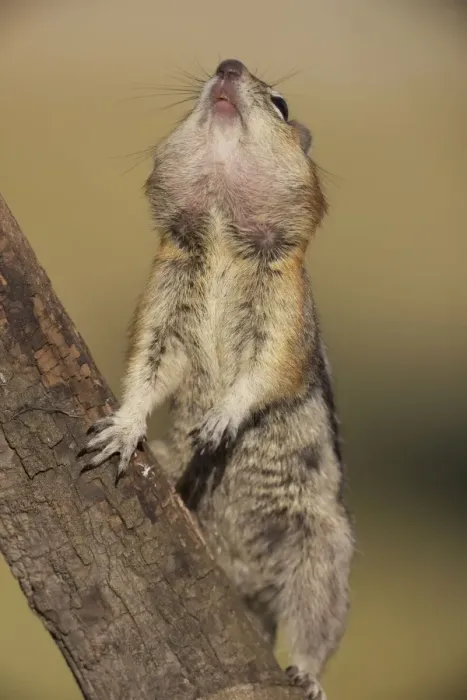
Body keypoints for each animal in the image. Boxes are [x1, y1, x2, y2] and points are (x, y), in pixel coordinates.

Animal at [79, 59, 354, 700]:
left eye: (281, 104)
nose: (229, 66)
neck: (225, 235)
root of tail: (245, 583)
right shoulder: (163, 297)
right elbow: (149, 365)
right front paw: (124, 426)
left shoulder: (284, 314)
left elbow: (264, 371)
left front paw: (223, 417)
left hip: (322, 551)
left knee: (315, 624)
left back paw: (307, 675)